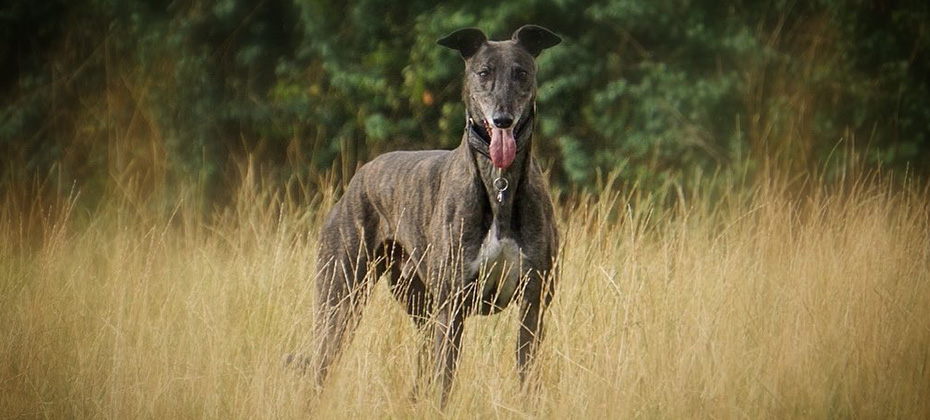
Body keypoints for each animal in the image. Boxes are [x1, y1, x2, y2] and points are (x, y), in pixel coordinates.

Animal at [310, 25, 560, 404]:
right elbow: (445, 382)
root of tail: (359, 176)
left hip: (417, 306)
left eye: (521, 73)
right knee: (322, 358)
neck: (499, 185)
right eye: (483, 72)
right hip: (341, 296)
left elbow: (526, 374)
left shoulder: (533, 304)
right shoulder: (451, 308)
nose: (502, 119)